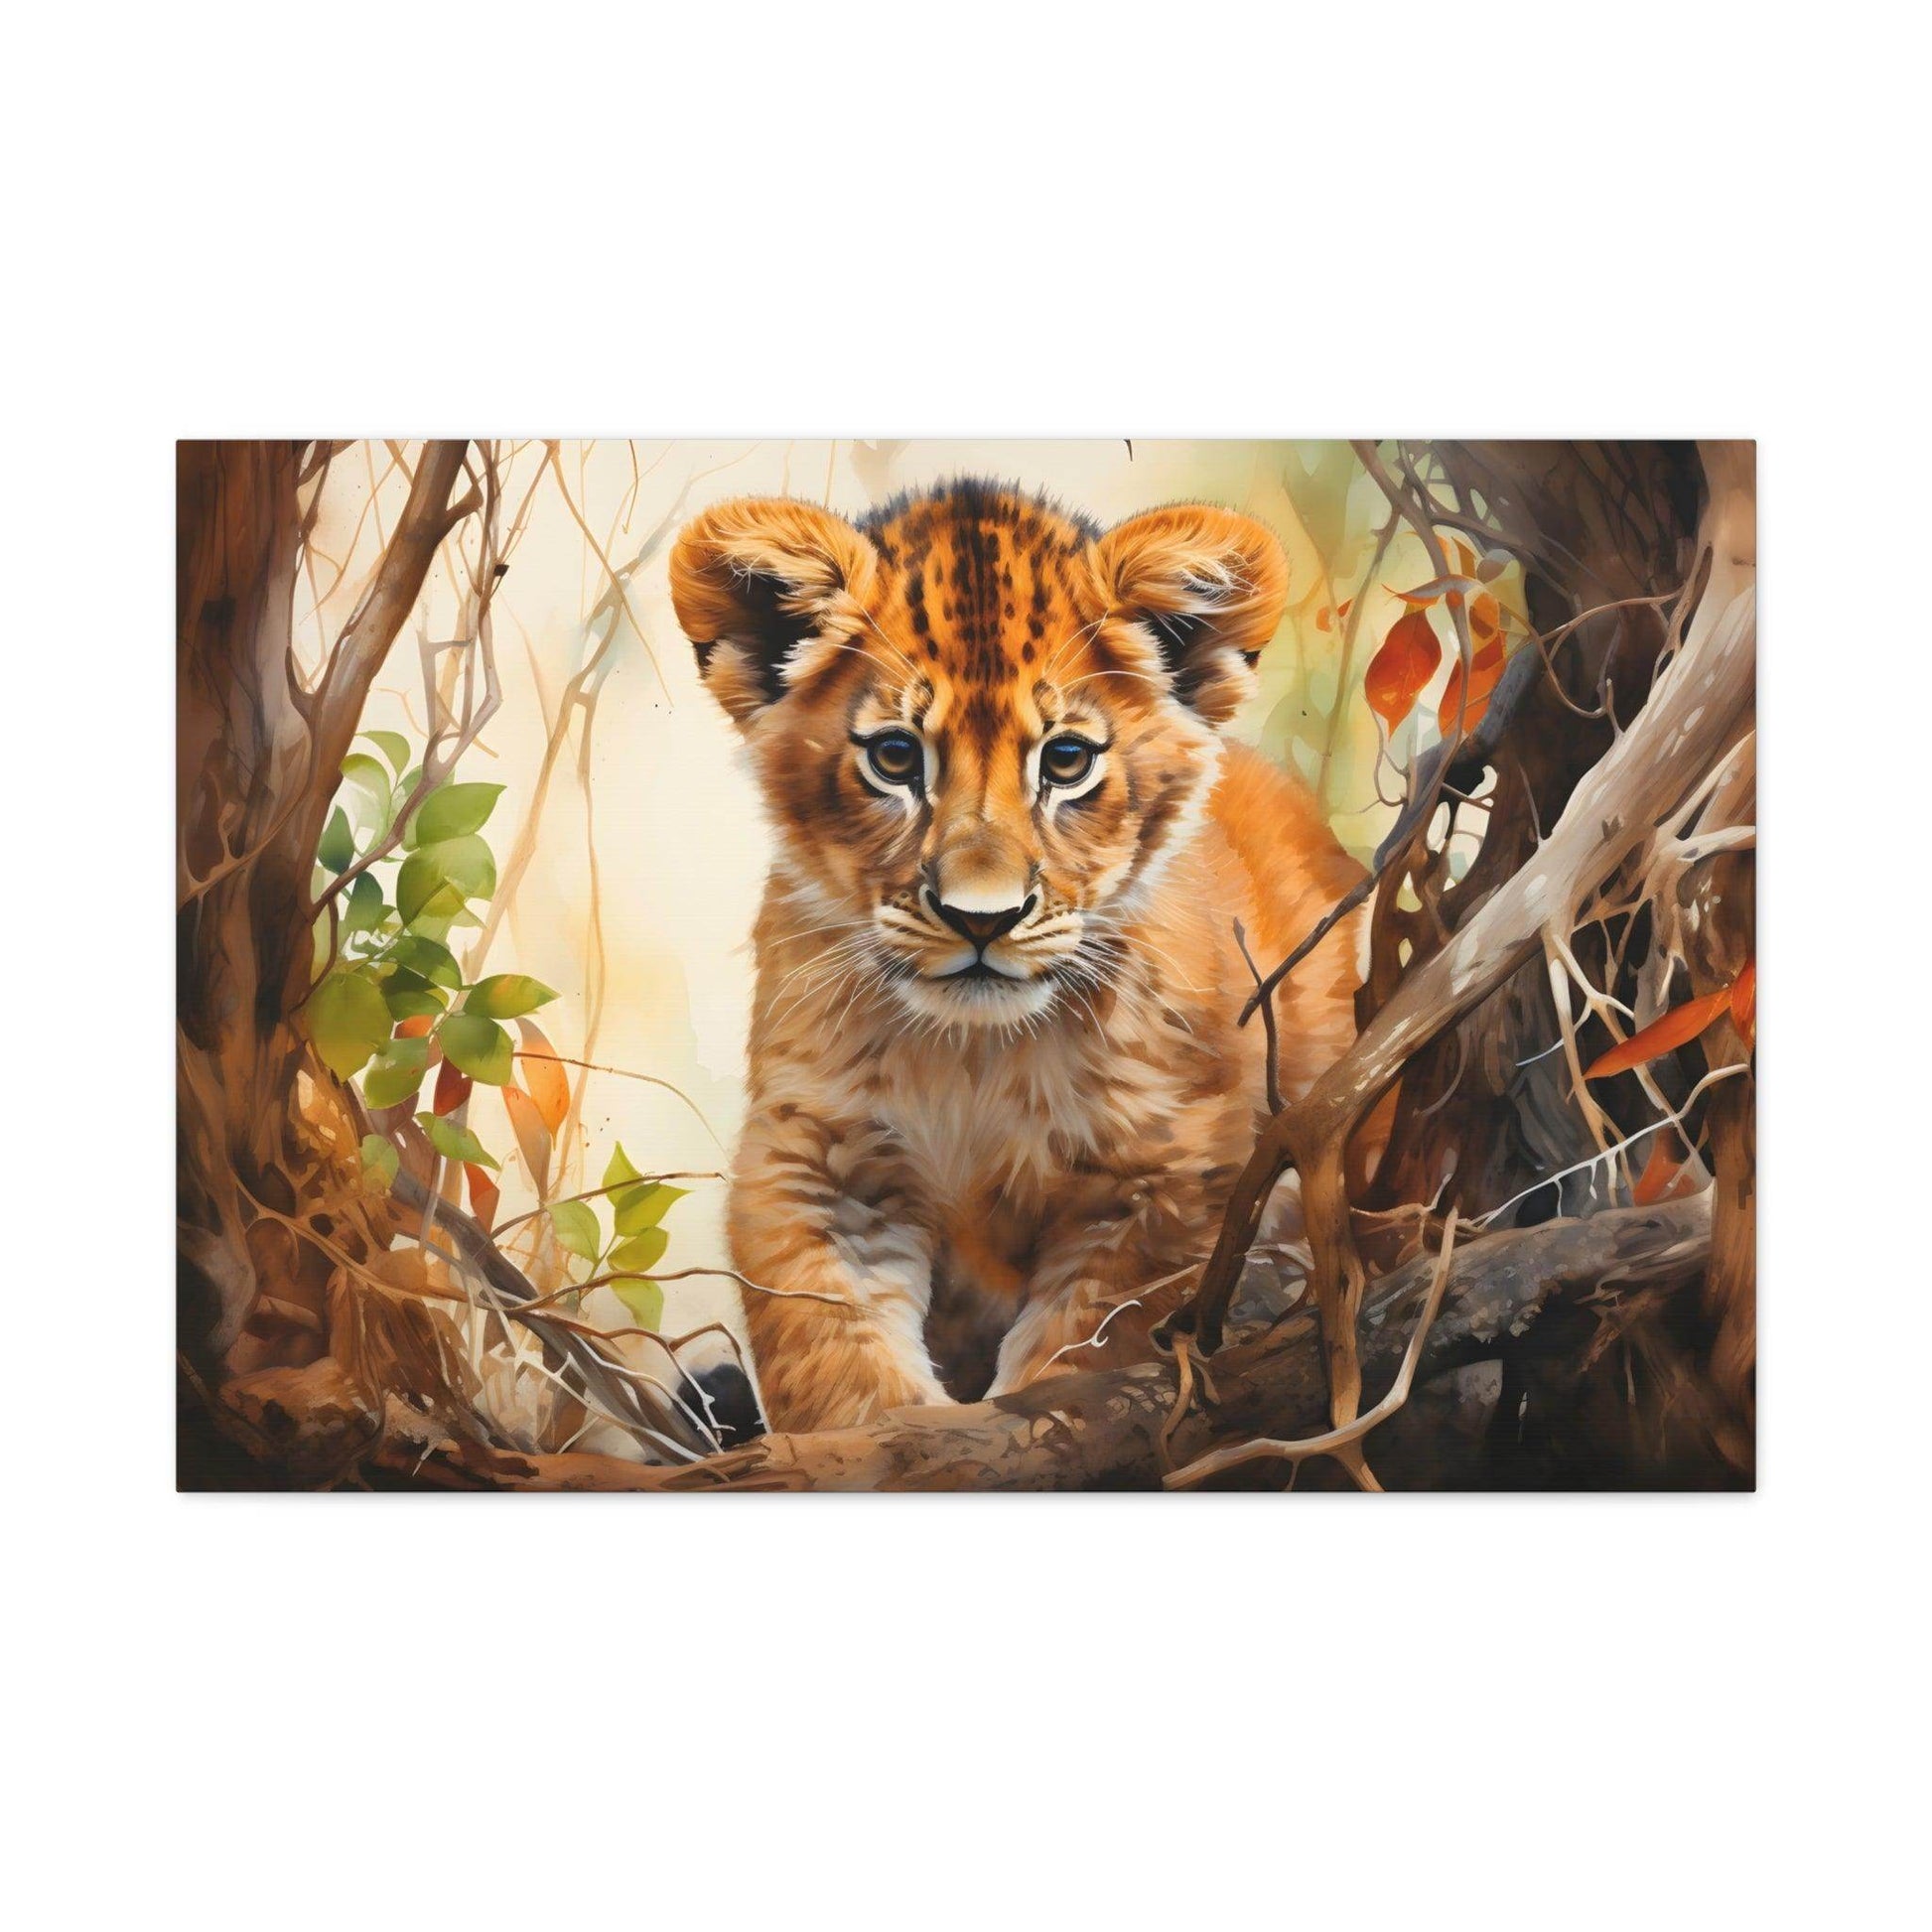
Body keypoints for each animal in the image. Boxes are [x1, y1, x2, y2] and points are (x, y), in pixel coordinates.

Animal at [669, 478, 1367, 1434]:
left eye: (1066, 761)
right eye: (895, 757)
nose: (981, 920)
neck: (975, 1058)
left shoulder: (1166, 1177)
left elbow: (1089, 1354)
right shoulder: (816, 1160)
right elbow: (835, 1360)